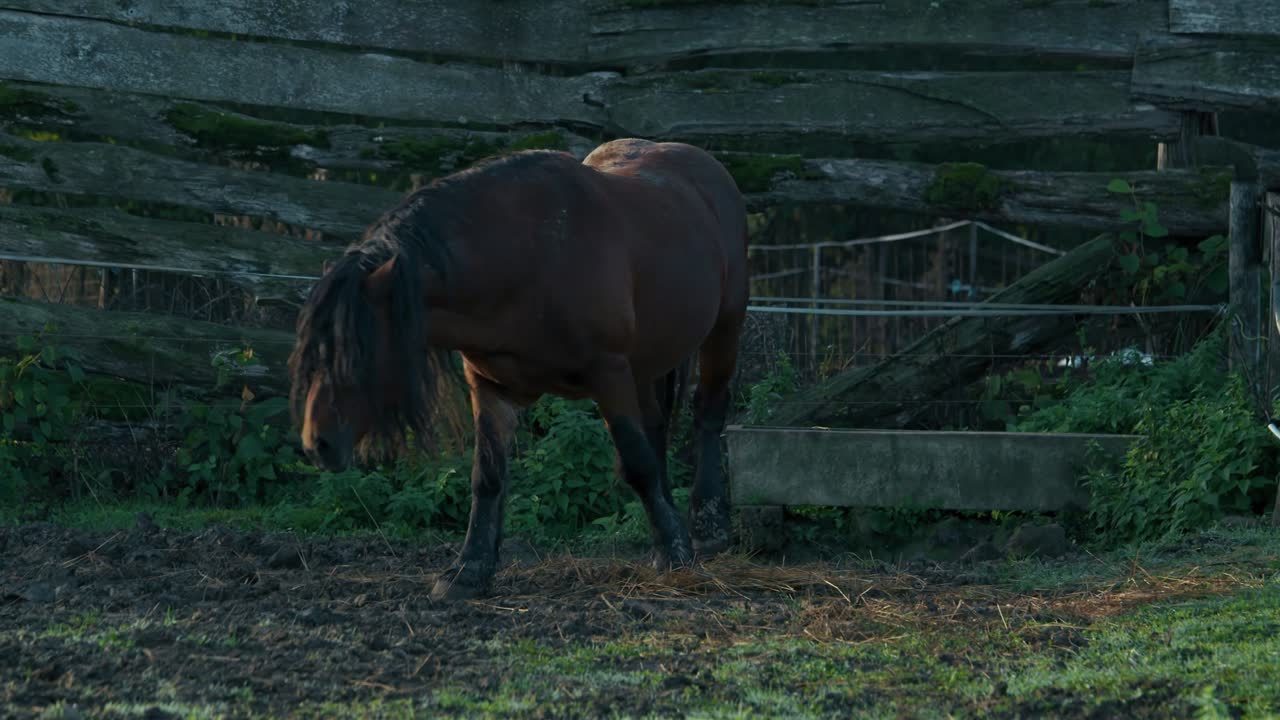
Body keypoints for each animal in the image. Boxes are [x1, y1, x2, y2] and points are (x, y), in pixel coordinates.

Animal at [288, 138, 748, 601]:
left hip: (724, 328)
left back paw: (707, 528)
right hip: (648, 361)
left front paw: (676, 553)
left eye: (354, 355)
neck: (527, 258)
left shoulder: (610, 373)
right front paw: (469, 569)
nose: (316, 444)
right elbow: (487, 477)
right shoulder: (490, 387)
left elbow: (636, 462)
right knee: (657, 427)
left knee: (707, 413)